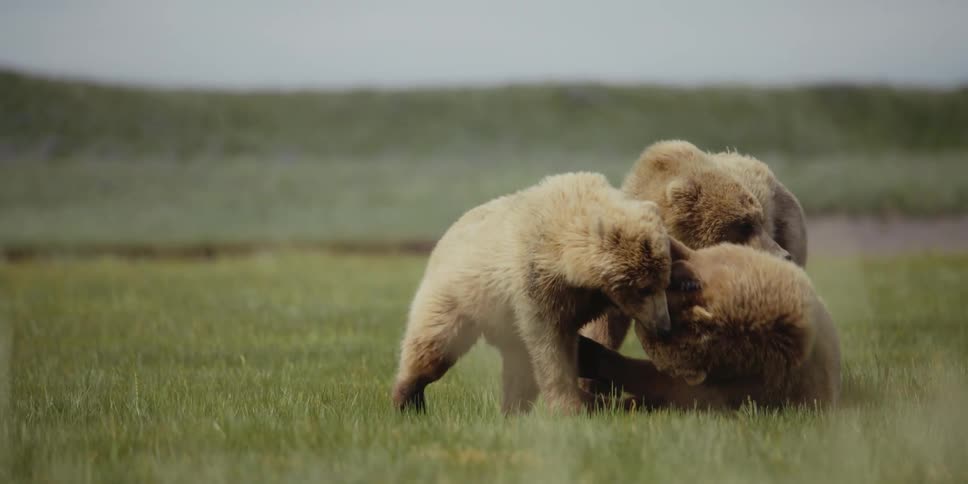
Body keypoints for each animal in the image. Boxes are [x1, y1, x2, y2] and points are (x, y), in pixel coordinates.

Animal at [391, 172, 682, 415]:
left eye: (664, 282)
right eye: (643, 287)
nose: (664, 326)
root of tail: (446, 234)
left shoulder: (587, 299)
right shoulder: (537, 286)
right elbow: (550, 347)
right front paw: (569, 406)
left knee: (516, 366)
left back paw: (512, 409)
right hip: (458, 297)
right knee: (432, 347)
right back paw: (408, 400)